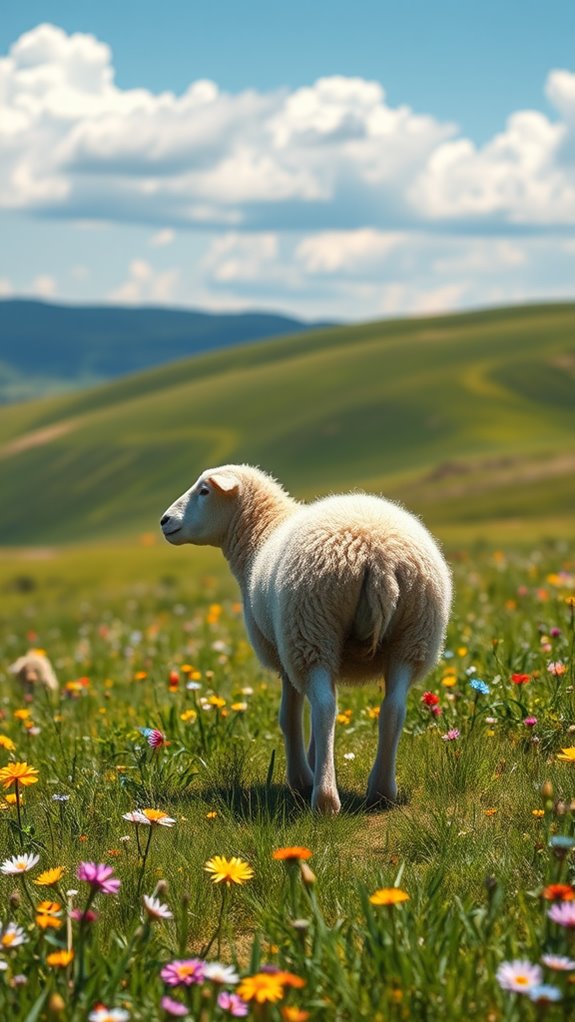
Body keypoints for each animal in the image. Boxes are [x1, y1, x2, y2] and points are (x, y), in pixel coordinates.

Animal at [161, 465, 452, 814]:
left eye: (204, 491)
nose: (164, 520)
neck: (260, 533)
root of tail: (377, 555)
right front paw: (315, 760)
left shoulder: (282, 650)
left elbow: (290, 716)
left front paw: (301, 777)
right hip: (412, 638)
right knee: (392, 709)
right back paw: (380, 790)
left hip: (308, 630)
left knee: (325, 709)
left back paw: (323, 798)